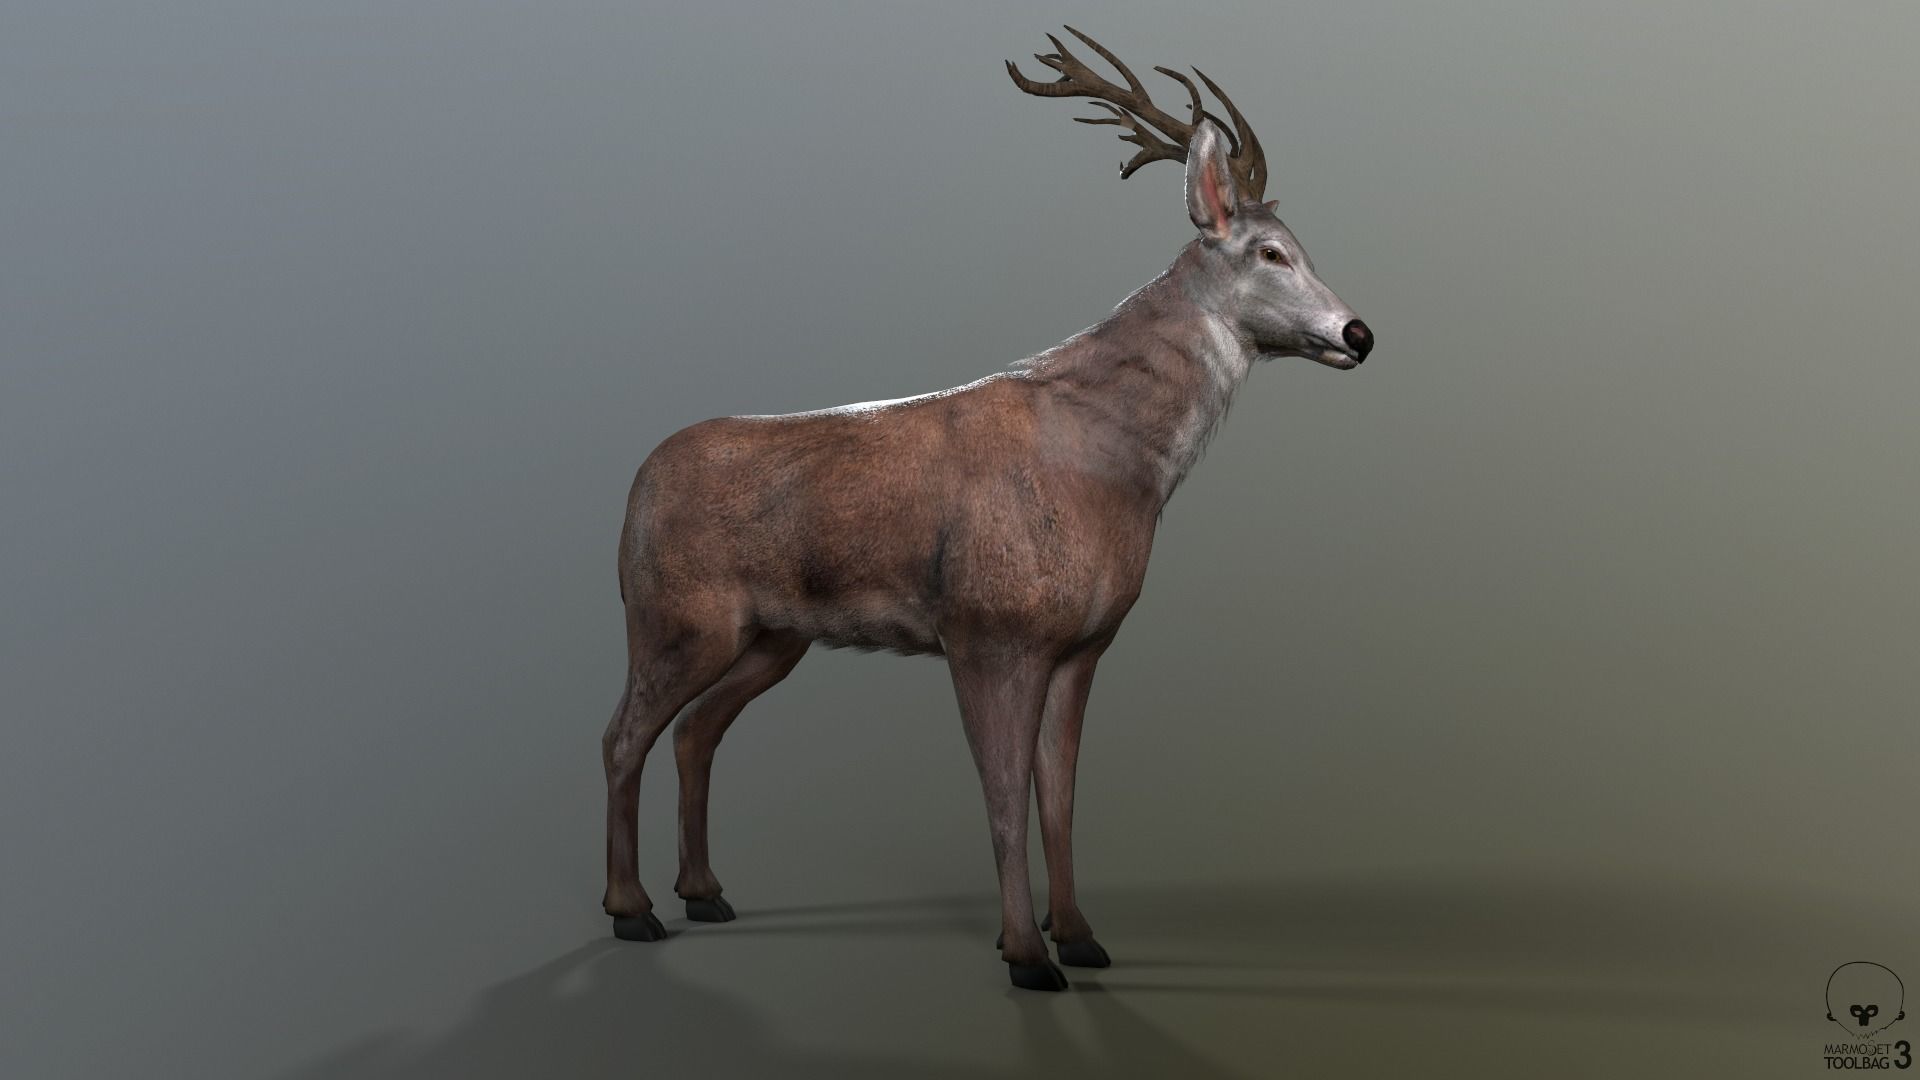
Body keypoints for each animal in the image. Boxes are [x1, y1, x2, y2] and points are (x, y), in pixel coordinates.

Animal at [601, 26, 1373, 992]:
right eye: (1271, 252)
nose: (1358, 334)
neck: (1112, 468)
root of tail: (635, 484)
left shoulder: (1082, 644)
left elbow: (1061, 797)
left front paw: (1078, 936)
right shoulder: (987, 628)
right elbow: (1004, 797)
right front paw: (1024, 956)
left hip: (771, 636)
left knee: (693, 732)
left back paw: (704, 893)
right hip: (671, 616)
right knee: (621, 734)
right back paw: (631, 910)